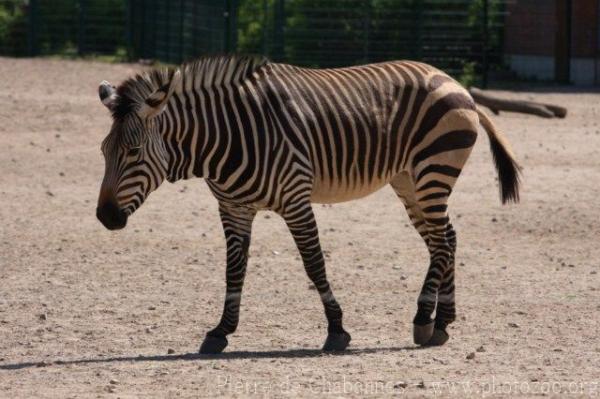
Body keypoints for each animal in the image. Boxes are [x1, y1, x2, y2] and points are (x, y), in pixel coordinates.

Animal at [96, 54, 516, 354]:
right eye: (103, 151)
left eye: (133, 152)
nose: (105, 217)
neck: (226, 138)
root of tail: (453, 80)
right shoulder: (233, 208)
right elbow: (234, 270)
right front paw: (221, 332)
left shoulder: (295, 198)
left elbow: (314, 263)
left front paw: (337, 330)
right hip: (409, 179)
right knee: (446, 238)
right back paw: (443, 321)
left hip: (434, 169)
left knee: (442, 242)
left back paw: (423, 320)